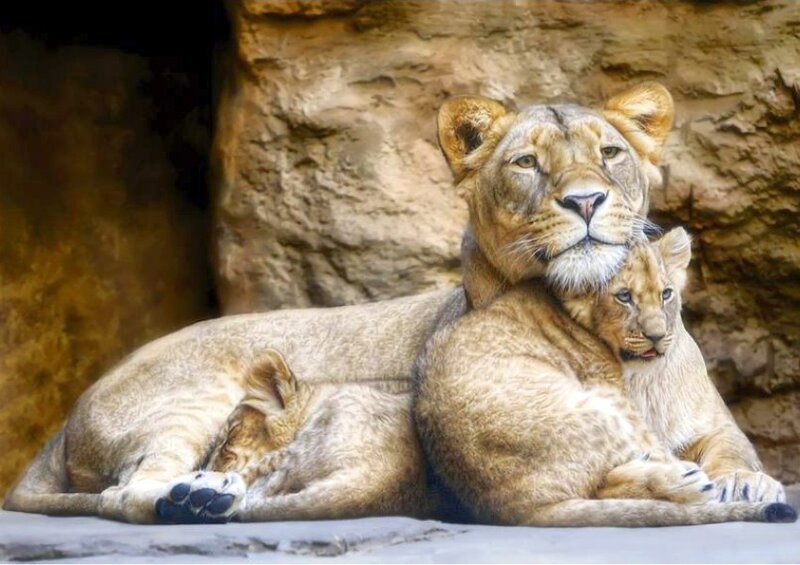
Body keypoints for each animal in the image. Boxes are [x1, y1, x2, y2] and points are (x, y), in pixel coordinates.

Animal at [5, 82, 755, 525]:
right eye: (527, 164)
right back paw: (198, 496)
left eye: (611, 154)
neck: (628, 356)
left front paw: (754, 488)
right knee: (125, 493)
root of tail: (61, 425)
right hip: (186, 405)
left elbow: (735, 453)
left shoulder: (713, 427)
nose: (586, 200)